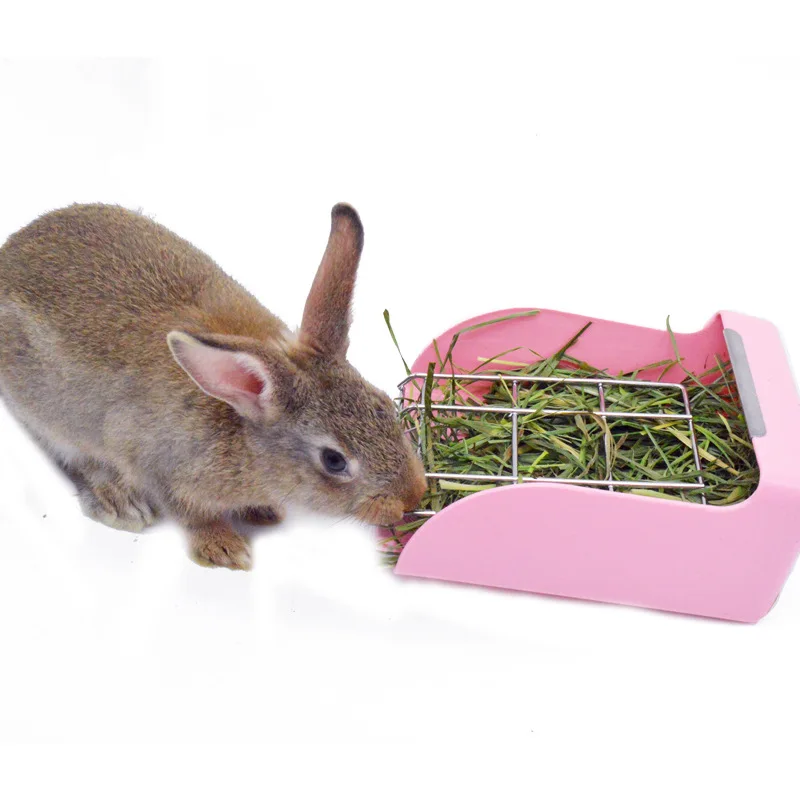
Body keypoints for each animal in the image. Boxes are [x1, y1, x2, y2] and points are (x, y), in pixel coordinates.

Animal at [0, 202, 427, 570]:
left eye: (384, 407)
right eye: (334, 460)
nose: (412, 496)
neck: (245, 433)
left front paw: (263, 511)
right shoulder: (156, 464)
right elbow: (191, 515)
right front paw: (224, 548)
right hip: (47, 414)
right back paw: (119, 503)